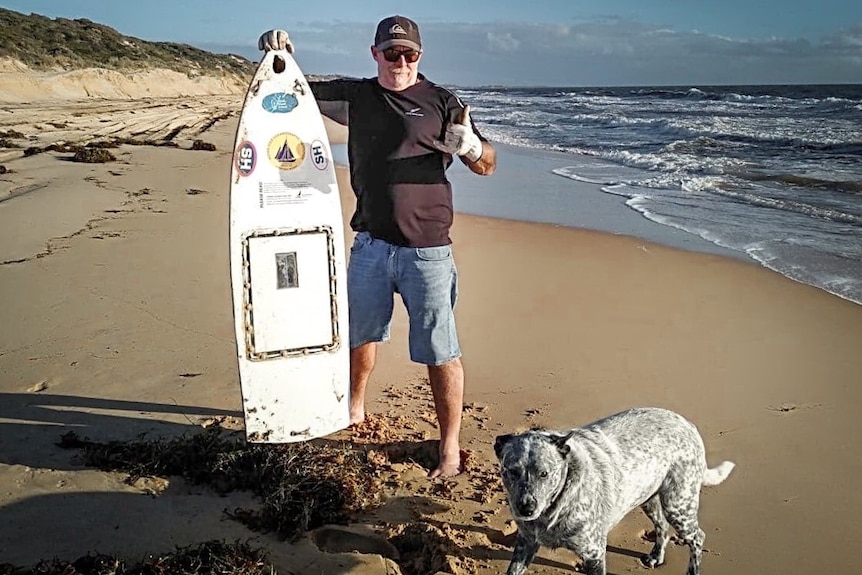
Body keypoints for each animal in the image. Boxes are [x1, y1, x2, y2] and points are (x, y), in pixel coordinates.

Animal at [492, 408, 736, 572]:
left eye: (544, 473)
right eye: (511, 471)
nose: (526, 509)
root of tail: (688, 425)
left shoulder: (594, 554)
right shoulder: (525, 543)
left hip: (678, 504)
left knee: (697, 537)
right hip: (648, 498)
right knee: (662, 526)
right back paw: (656, 556)